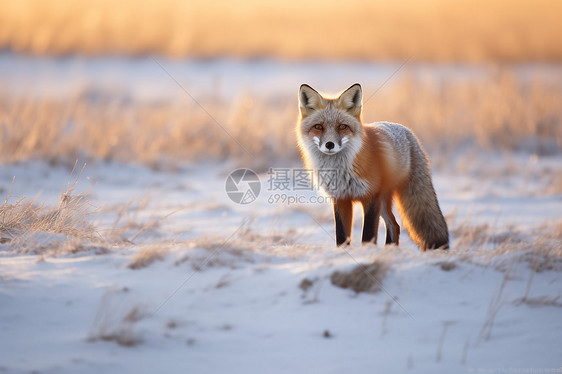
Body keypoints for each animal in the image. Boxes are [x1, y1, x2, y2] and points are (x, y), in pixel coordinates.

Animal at [296, 83, 448, 250]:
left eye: (342, 126)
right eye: (318, 126)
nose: (330, 145)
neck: (341, 170)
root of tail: (406, 130)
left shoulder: (371, 196)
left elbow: (368, 235)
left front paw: (366, 251)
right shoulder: (341, 199)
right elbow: (341, 237)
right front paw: (343, 252)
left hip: (388, 196)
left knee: (395, 225)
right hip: (383, 201)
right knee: (394, 225)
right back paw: (390, 250)